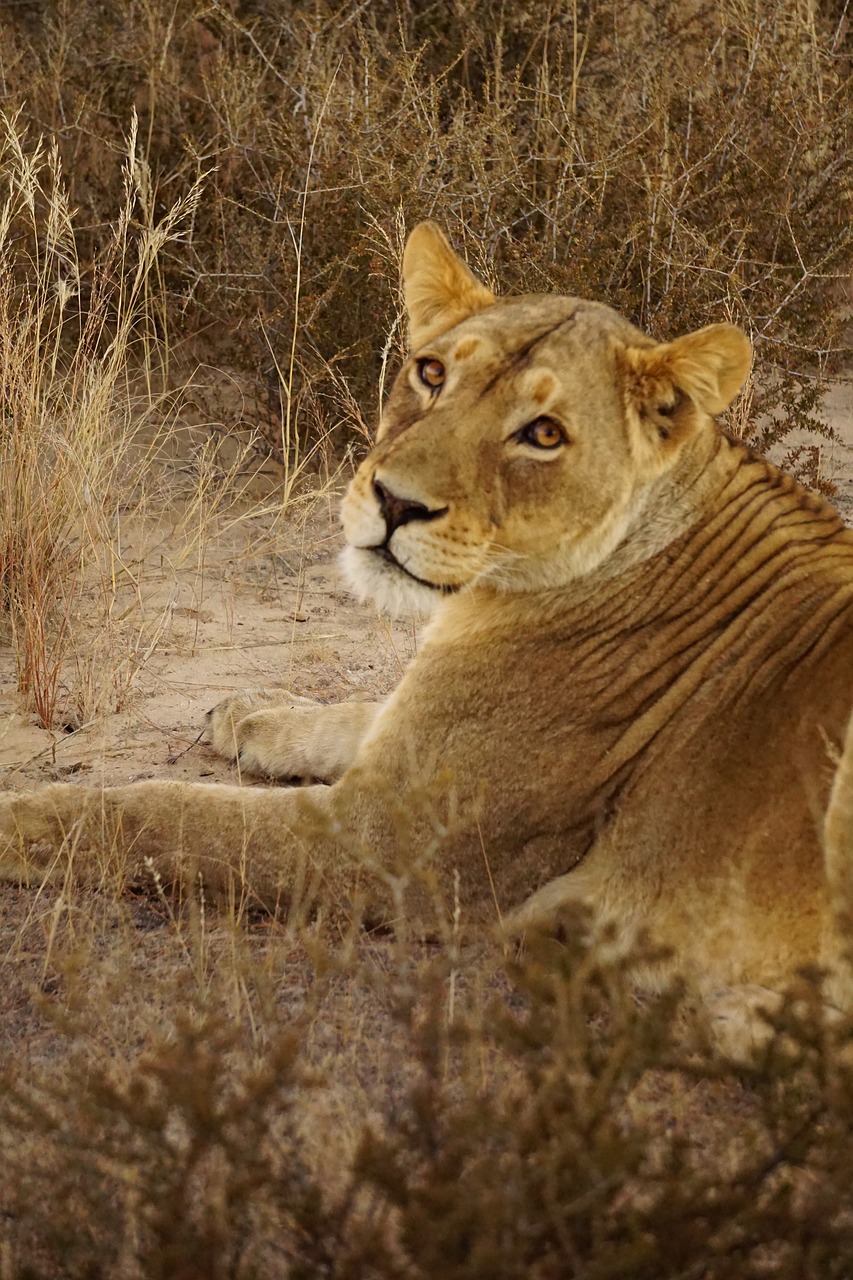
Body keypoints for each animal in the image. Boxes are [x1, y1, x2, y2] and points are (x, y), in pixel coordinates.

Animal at [1, 222, 850, 1008]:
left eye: (543, 434)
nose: (394, 501)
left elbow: (163, 813)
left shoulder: (388, 848)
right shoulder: (410, 753)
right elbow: (352, 713)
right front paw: (249, 712)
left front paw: (21, 818)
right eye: (431, 372)